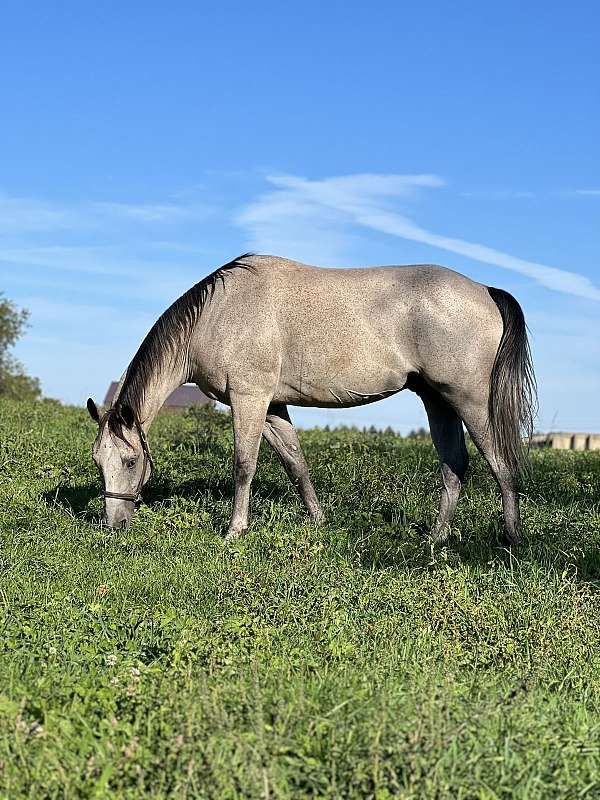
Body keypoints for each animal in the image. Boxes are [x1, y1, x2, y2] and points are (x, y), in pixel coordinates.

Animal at [86, 255, 536, 544]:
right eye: (98, 461)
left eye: (130, 461)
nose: (114, 525)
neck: (217, 313)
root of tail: (485, 291)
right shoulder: (272, 407)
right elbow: (295, 463)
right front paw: (318, 521)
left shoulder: (249, 399)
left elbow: (244, 465)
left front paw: (234, 530)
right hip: (437, 400)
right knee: (453, 466)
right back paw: (437, 539)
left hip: (470, 401)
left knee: (500, 462)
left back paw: (512, 538)